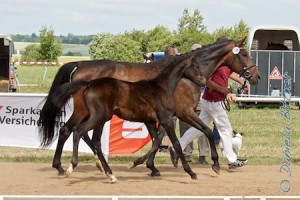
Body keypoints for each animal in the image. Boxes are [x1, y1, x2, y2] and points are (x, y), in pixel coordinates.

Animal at [38, 36, 260, 182]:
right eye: (245, 53)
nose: (256, 76)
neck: (178, 79)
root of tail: (80, 65)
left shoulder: (163, 117)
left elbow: (157, 140)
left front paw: (151, 166)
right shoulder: (183, 113)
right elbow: (199, 131)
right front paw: (214, 164)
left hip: (91, 113)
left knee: (70, 131)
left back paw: (71, 167)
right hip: (90, 113)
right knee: (76, 132)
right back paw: (79, 167)